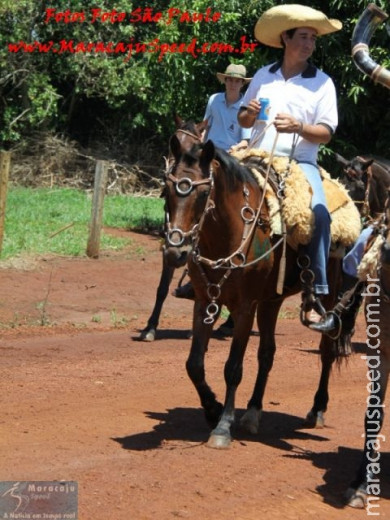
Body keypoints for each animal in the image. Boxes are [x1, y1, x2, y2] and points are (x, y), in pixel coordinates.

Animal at [164, 137, 348, 446]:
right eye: (166, 190)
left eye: (203, 194)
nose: (175, 252)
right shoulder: (205, 301)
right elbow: (194, 364)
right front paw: (212, 409)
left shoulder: (244, 308)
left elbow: (233, 368)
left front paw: (223, 426)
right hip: (270, 302)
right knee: (267, 353)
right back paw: (252, 411)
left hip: (329, 293)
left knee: (326, 350)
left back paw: (317, 408)